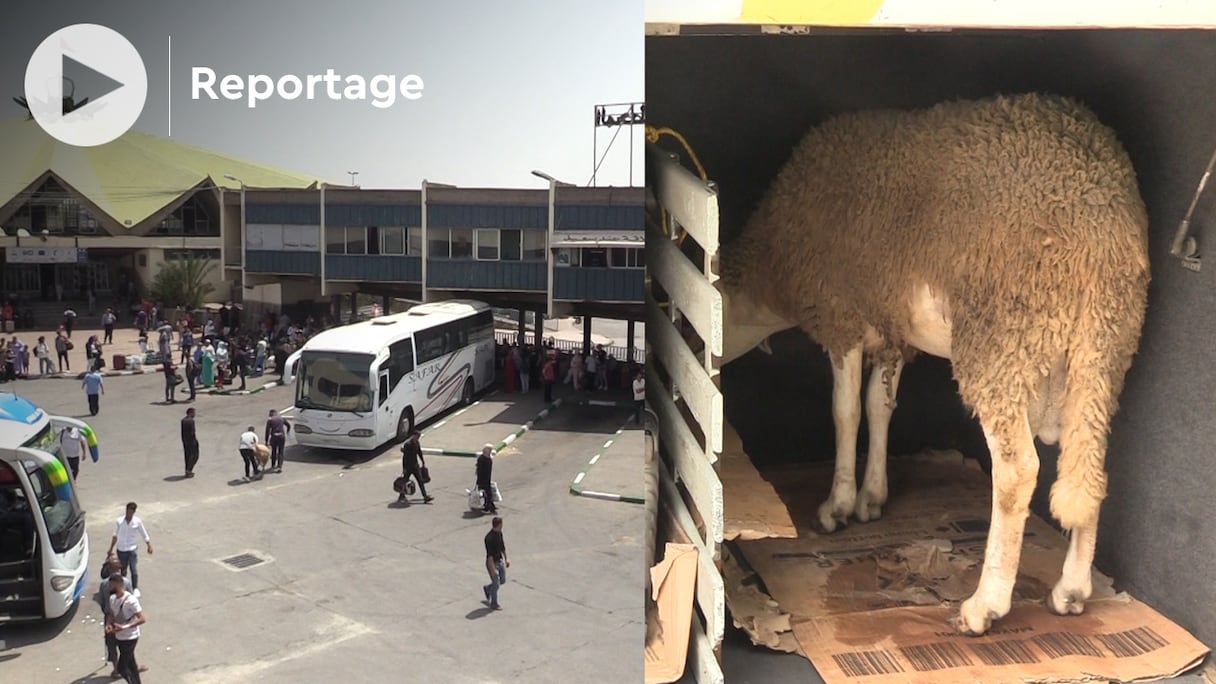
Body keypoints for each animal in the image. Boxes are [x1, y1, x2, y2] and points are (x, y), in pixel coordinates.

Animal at [715, 91, 1152, 632]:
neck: (771, 275)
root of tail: (1099, 224)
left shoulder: (841, 315)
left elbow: (845, 412)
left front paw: (837, 506)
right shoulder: (893, 332)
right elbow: (879, 408)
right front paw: (871, 499)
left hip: (1003, 337)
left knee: (1017, 472)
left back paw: (985, 605)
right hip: (1105, 345)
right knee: (1089, 465)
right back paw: (1070, 590)